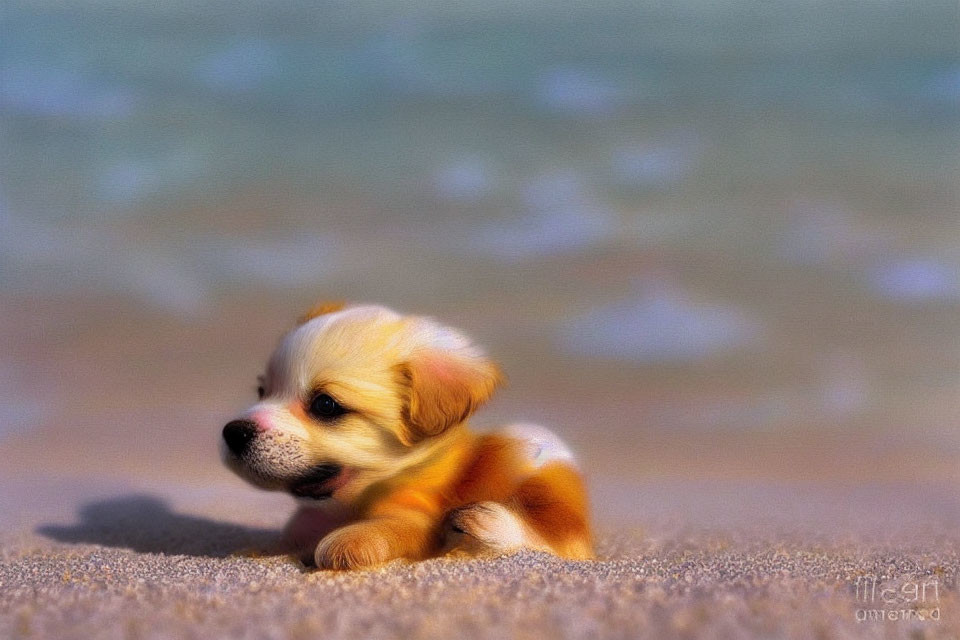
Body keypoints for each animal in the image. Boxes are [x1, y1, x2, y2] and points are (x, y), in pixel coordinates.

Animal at [223, 302, 592, 568]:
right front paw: (258, 551)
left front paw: (343, 544)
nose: (232, 432)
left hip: (531, 444)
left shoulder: (417, 518)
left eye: (325, 405)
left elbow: (383, 529)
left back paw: (485, 526)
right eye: (262, 391)